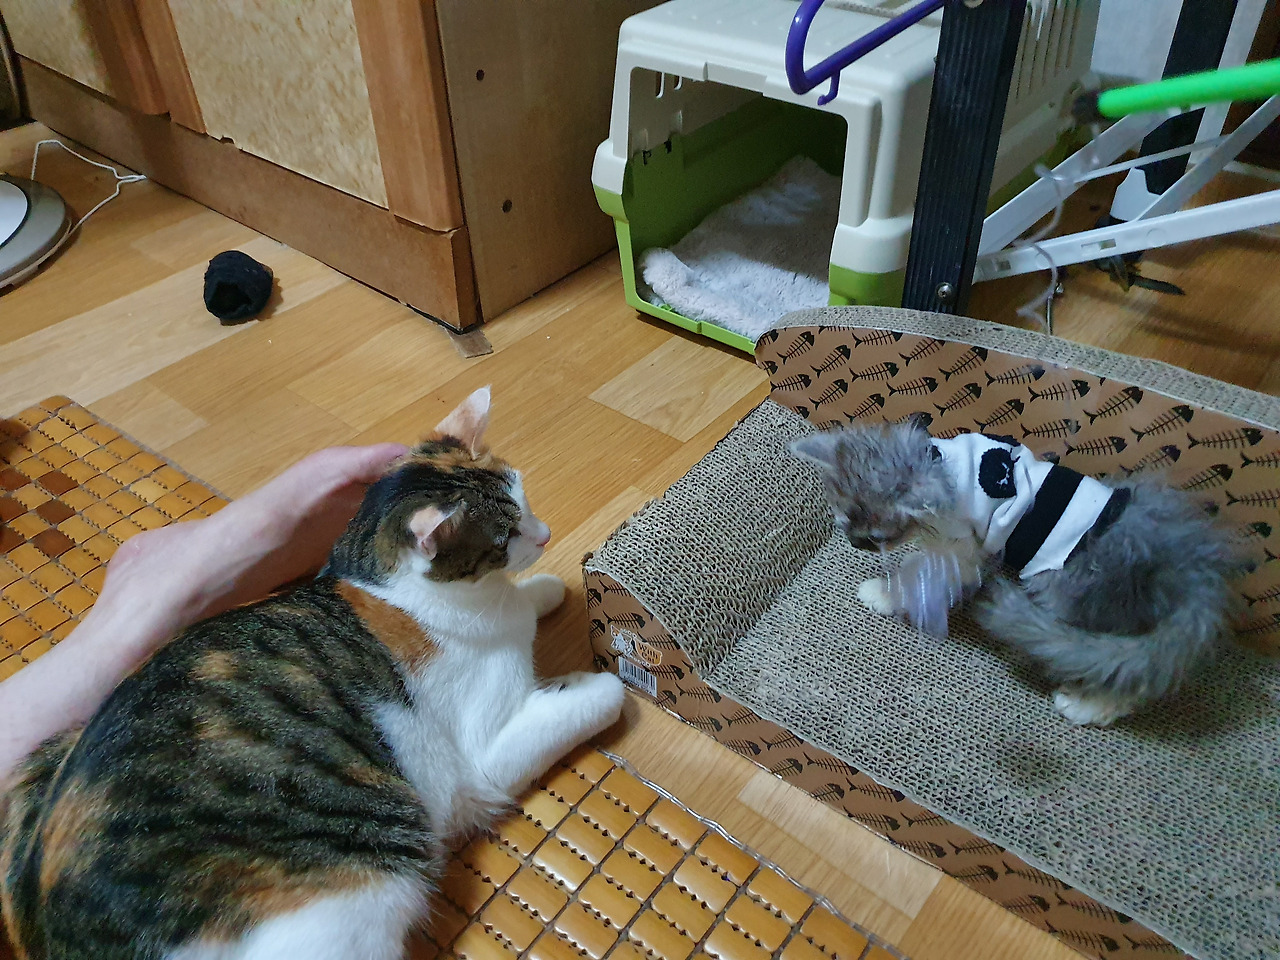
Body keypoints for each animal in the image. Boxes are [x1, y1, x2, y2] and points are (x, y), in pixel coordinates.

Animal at [0, 386, 626, 960]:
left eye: (523, 495)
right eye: (504, 537)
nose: (545, 535)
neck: (398, 593)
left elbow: (530, 602)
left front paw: (545, 591)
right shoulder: (481, 756)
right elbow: (608, 694)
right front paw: (590, 680)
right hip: (359, 892)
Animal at [791, 416, 1245, 726]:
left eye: (877, 536)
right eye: (842, 520)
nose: (854, 544)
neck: (938, 461)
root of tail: (1192, 568)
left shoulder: (964, 549)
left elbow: (920, 573)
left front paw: (883, 593)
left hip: (1067, 592)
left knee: (1124, 672)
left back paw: (1087, 705)